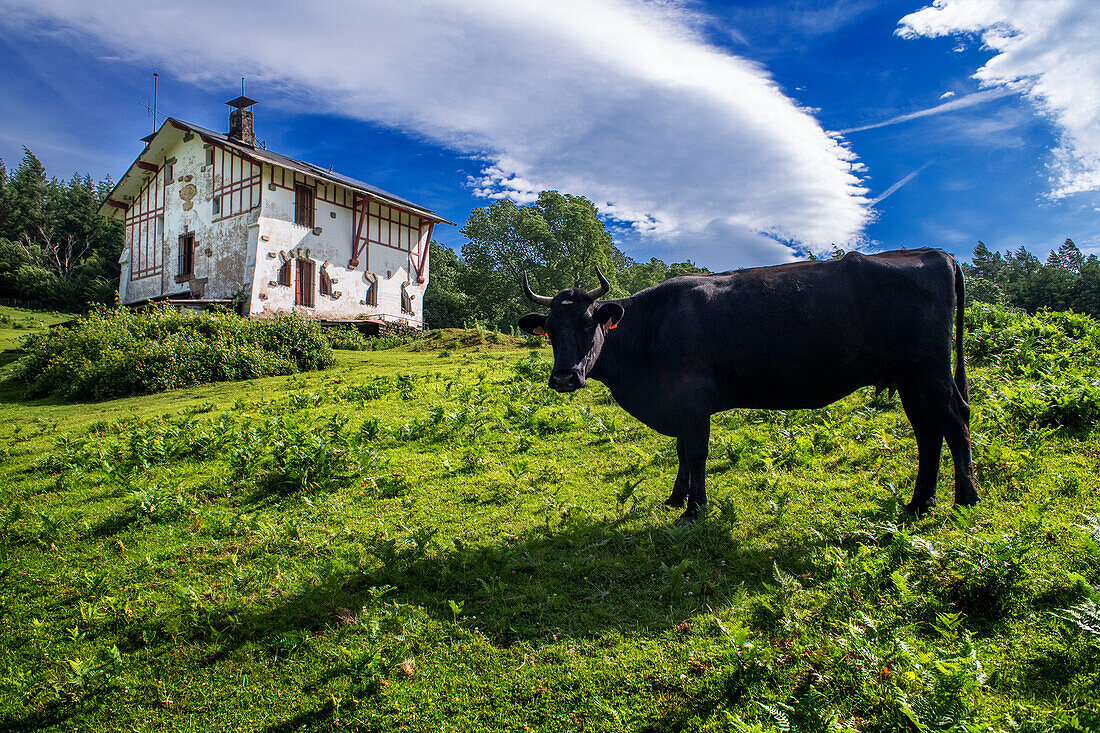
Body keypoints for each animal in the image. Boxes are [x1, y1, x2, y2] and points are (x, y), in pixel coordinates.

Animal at [519, 248, 976, 521]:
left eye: (588, 323)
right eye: (551, 330)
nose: (564, 377)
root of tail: (934, 254)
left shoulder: (693, 399)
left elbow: (696, 454)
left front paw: (694, 510)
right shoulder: (679, 403)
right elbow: (681, 453)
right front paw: (676, 498)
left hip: (930, 373)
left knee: (955, 425)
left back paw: (965, 499)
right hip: (911, 379)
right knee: (929, 432)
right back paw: (919, 503)